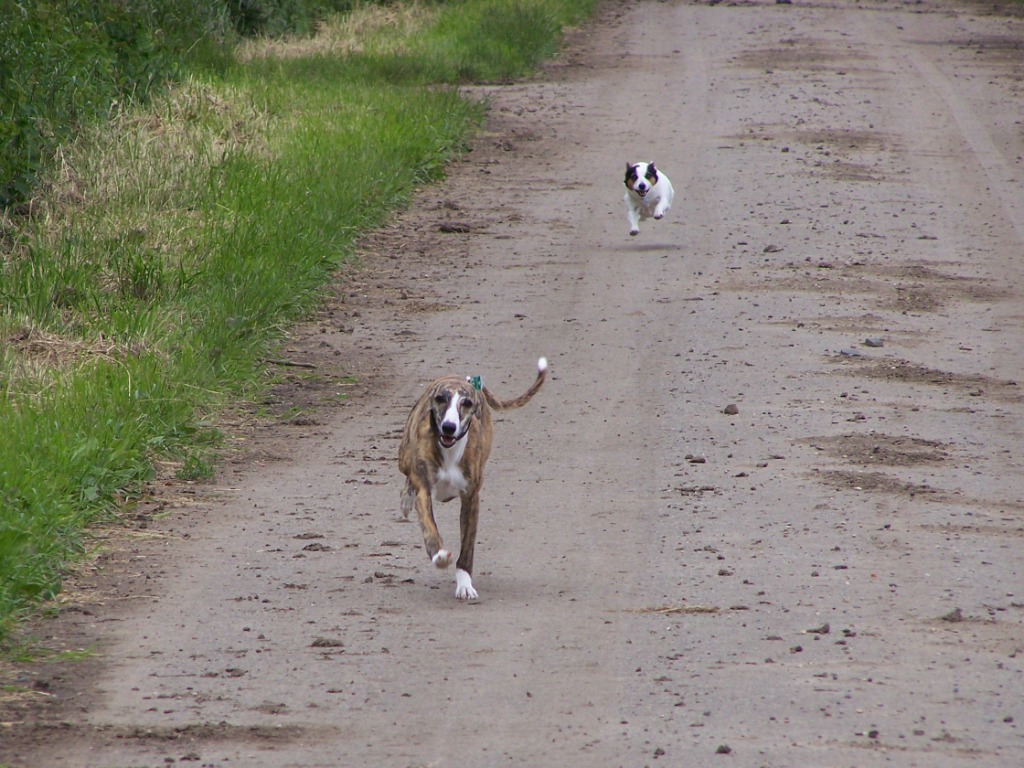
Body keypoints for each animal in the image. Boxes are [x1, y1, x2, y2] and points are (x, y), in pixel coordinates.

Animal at [397, 358, 548, 598]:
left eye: (466, 403)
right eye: (441, 399)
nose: (449, 427)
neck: (449, 450)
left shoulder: (471, 498)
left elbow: (467, 549)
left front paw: (465, 585)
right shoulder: (424, 491)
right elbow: (430, 528)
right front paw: (439, 556)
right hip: (404, 457)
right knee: (407, 480)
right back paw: (405, 501)